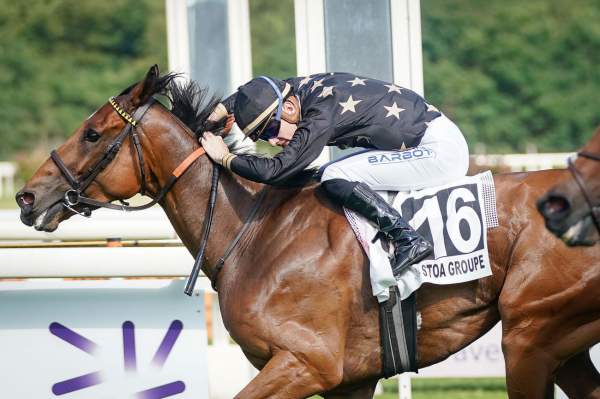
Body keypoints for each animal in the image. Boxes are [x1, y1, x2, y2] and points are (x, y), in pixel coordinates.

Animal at [14, 67, 600, 398]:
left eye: (92, 134)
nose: (26, 197)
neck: (253, 233)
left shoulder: (305, 364)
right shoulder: (352, 379)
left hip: (529, 336)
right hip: (557, 344)